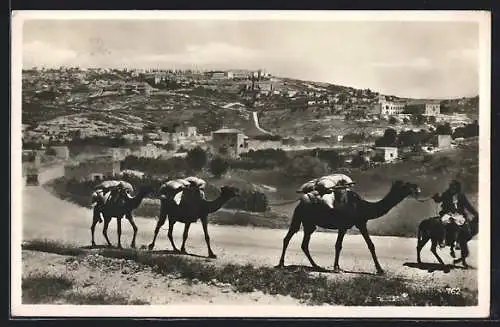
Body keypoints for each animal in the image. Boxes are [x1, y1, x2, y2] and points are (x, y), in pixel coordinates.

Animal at [276, 181, 420, 276]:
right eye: (407, 186)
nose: (418, 189)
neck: (362, 206)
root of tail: (301, 201)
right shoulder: (345, 226)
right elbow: (338, 245)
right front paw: (337, 268)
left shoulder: (361, 223)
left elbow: (370, 245)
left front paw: (380, 270)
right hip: (299, 217)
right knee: (288, 238)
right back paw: (281, 264)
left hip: (309, 223)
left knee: (304, 244)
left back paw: (317, 266)